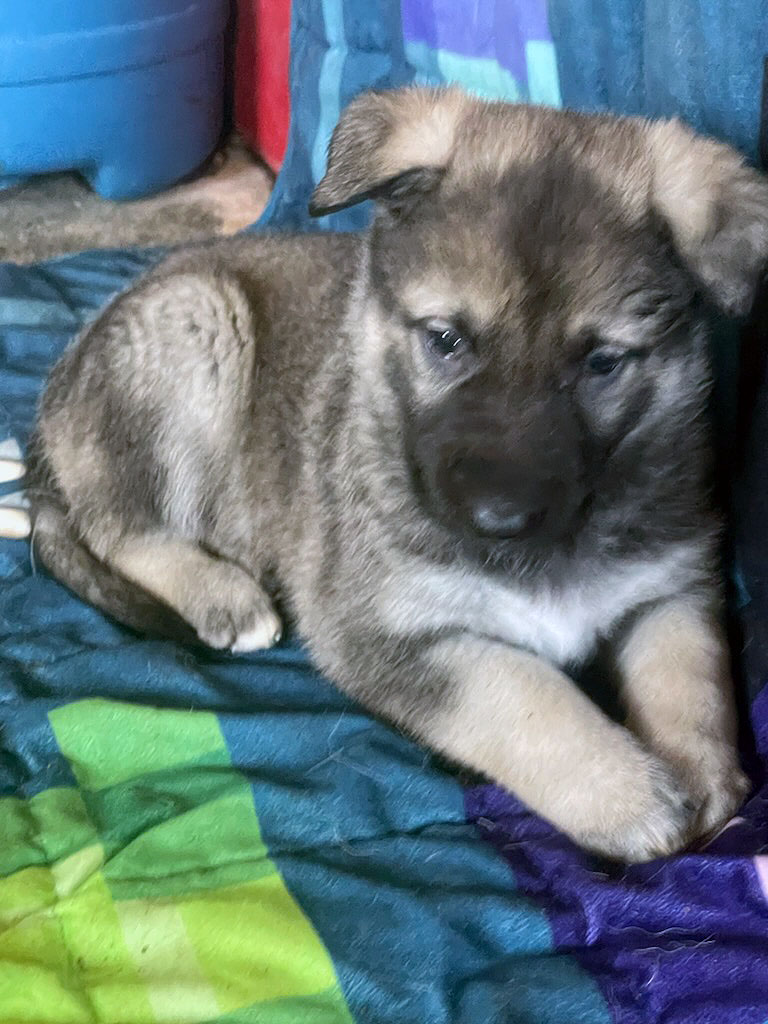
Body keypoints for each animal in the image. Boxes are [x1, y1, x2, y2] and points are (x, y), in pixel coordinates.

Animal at [25, 86, 765, 856]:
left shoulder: (671, 584)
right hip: (196, 324)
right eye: (446, 340)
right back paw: (222, 594)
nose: (498, 520)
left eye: (603, 363)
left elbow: (692, 672)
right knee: (120, 528)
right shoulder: (382, 630)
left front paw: (700, 774)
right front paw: (629, 795)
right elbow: (521, 691)